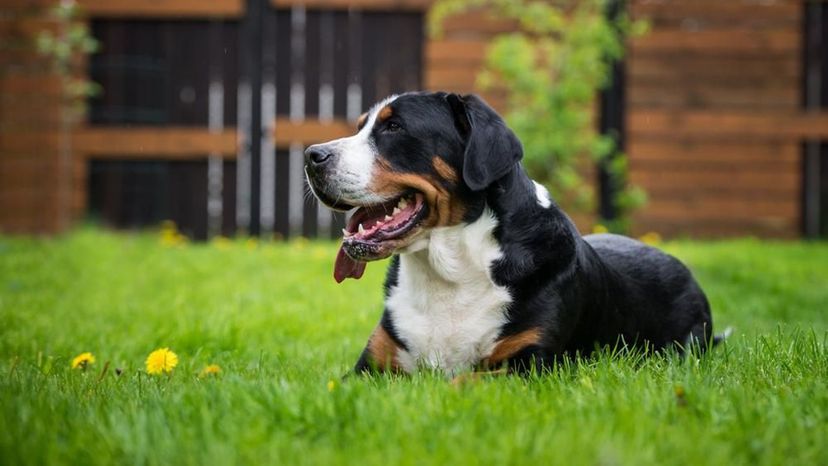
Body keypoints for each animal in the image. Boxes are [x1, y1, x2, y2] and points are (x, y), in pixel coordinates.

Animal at [304, 91, 724, 374]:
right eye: (361, 126)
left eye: (394, 127)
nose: (311, 155)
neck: (451, 272)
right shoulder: (370, 368)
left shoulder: (523, 365)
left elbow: (460, 380)